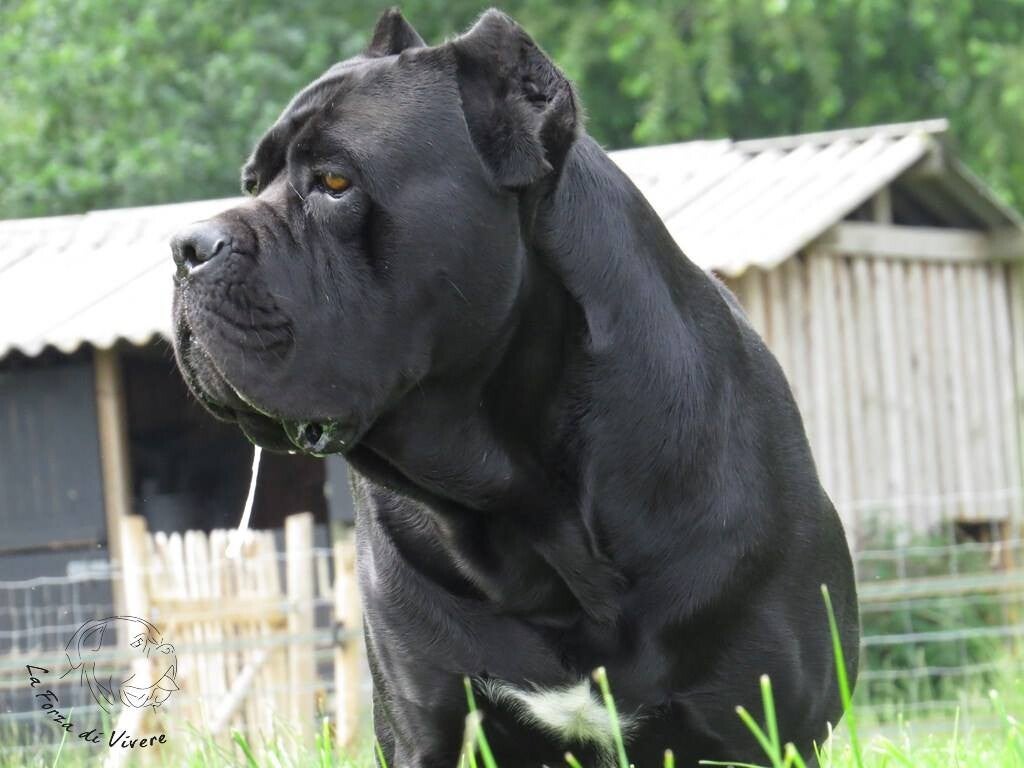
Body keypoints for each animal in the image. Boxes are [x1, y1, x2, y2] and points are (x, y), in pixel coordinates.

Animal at [170, 8, 859, 766]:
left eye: (334, 182)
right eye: (252, 182)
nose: (186, 246)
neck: (527, 504)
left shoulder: (758, 725)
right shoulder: (428, 728)